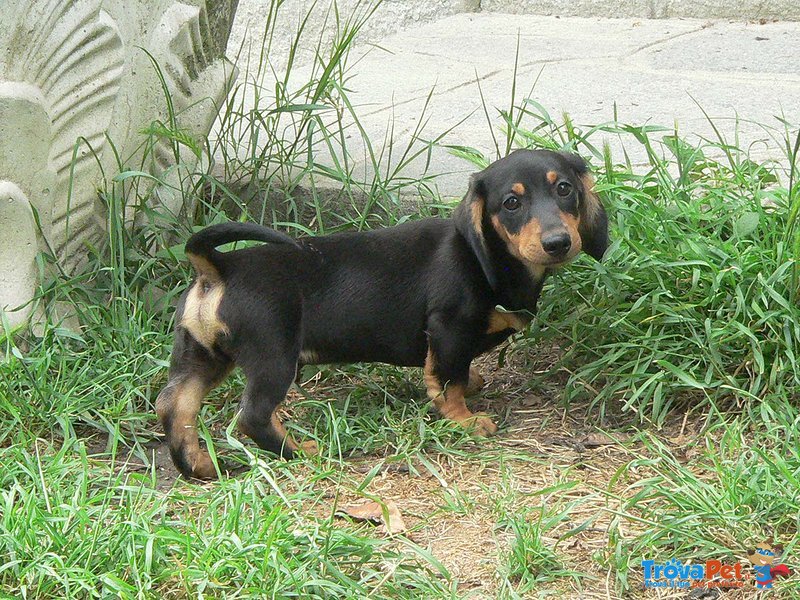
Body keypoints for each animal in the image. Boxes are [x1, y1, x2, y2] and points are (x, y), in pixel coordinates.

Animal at [155, 149, 608, 478]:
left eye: (564, 189)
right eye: (511, 203)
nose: (557, 242)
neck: (488, 257)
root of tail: (220, 266)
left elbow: (457, 371)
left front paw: (472, 385)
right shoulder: (448, 327)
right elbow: (448, 382)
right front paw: (464, 421)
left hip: (202, 355)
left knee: (174, 406)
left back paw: (197, 465)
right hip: (273, 354)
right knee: (252, 415)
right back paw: (300, 450)